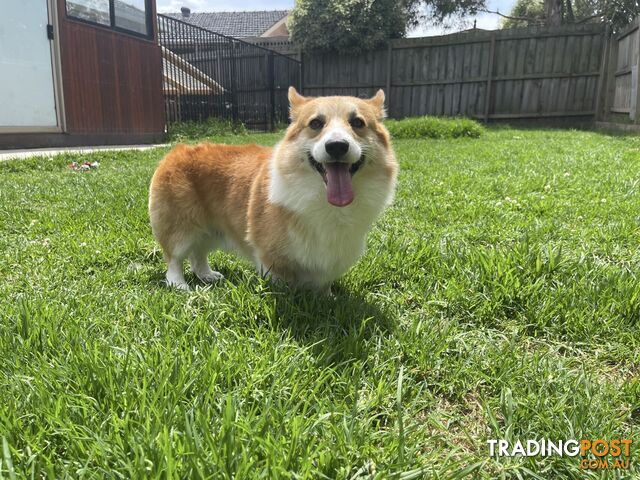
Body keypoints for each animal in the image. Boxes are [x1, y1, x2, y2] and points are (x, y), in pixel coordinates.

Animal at [151, 87, 400, 290]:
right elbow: (282, 283)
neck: (324, 201)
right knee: (174, 258)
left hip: (211, 229)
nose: (337, 146)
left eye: (357, 123)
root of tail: (176, 151)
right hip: (181, 228)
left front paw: (327, 297)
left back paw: (207, 275)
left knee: (198, 255)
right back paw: (179, 285)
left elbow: (322, 286)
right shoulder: (271, 256)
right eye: (316, 123)